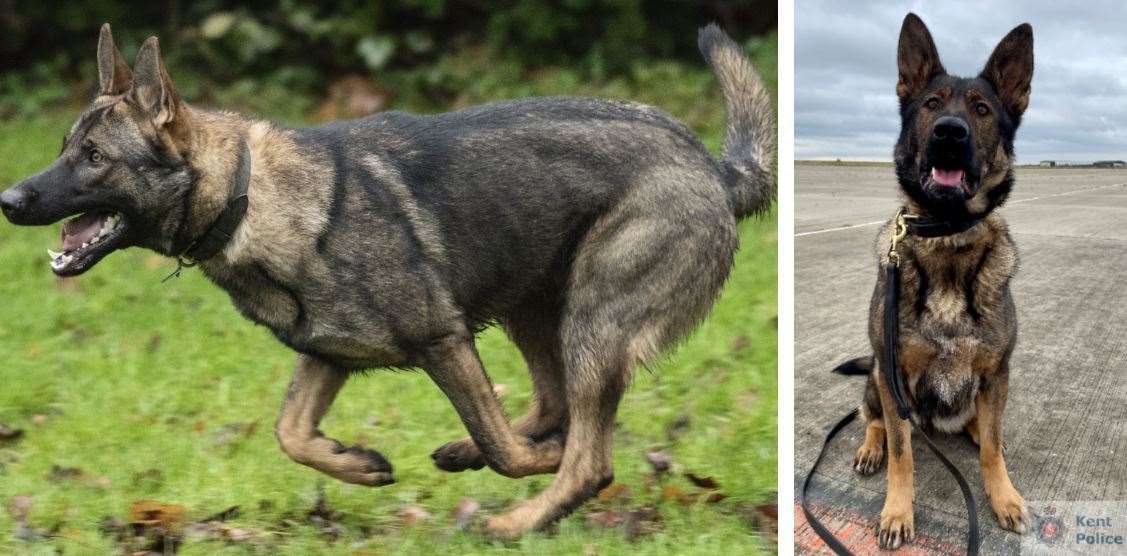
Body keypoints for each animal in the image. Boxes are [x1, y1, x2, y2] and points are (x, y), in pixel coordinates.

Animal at [0, 23, 775, 534]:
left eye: (95, 157)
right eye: (65, 148)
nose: (9, 200)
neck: (249, 196)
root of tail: (711, 166)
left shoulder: (443, 341)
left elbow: (507, 450)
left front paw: (519, 465)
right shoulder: (327, 355)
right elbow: (291, 433)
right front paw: (359, 464)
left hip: (590, 321)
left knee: (586, 456)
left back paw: (520, 518)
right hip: (533, 308)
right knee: (552, 408)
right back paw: (484, 457)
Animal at [838, 14, 1032, 550]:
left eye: (982, 109)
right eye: (931, 104)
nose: (949, 132)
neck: (947, 235)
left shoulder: (996, 373)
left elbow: (993, 449)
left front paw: (1003, 496)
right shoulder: (894, 373)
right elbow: (903, 455)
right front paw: (896, 513)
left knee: (984, 430)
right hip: (877, 377)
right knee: (874, 420)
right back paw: (871, 447)